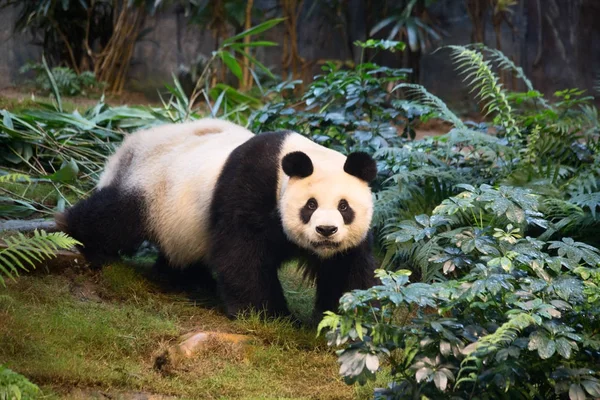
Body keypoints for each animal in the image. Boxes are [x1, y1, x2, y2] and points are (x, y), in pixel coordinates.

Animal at [55, 119, 376, 318]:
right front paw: (268, 314)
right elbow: (241, 250)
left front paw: (342, 318)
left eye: (344, 207)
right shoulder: (251, 185)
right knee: (115, 218)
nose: (326, 230)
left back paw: (187, 279)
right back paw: (76, 235)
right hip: (153, 188)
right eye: (310, 205)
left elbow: (346, 269)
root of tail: (130, 147)